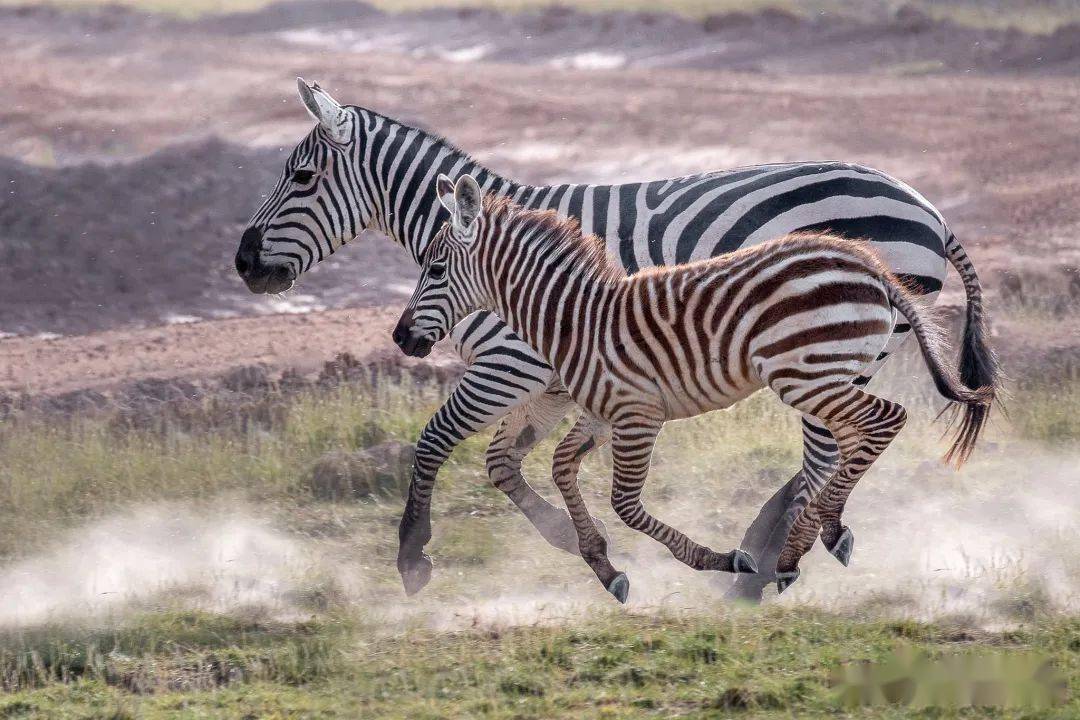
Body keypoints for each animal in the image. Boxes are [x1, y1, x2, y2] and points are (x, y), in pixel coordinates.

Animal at [393, 175, 989, 604]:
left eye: (435, 268)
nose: (400, 337)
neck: (575, 318)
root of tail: (869, 264)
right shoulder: (600, 413)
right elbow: (563, 468)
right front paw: (602, 564)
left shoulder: (637, 415)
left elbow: (626, 503)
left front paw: (719, 560)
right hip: (830, 372)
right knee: (852, 437)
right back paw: (821, 534)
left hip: (807, 374)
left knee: (882, 420)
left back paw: (794, 549)